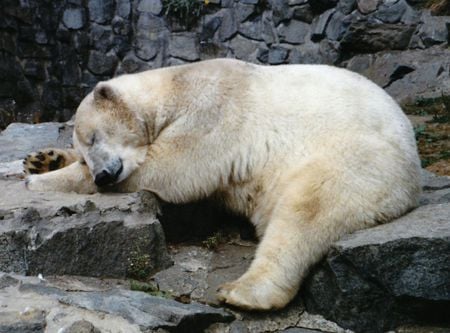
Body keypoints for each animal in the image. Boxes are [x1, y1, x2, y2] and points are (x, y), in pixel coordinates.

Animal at [24, 58, 422, 310]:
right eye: (84, 150)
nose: (103, 174)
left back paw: (242, 293)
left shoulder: (213, 109)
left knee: (305, 213)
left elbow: (172, 166)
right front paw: (42, 159)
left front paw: (39, 181)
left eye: (93, 137)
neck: (174, 84)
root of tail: (412, 177)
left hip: (352, 160)